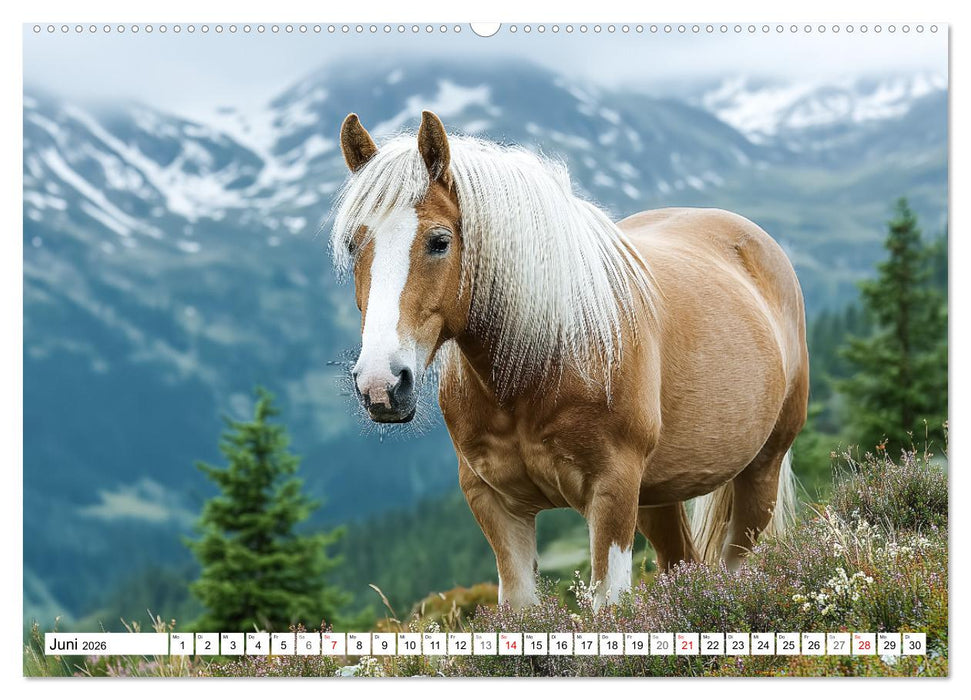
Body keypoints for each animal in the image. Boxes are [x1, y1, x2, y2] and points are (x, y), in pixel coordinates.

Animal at [331, 110, 809, 610]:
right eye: (352, 245)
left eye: (439, 241)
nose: (381, 385)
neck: (542, 362)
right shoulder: (495, 503)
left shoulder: (613, 494)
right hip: (658, 495)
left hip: (760, 471)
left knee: (738, 561)